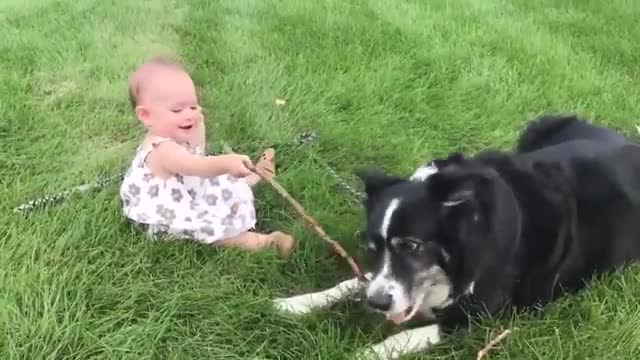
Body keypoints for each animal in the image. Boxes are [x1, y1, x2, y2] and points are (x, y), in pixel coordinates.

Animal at [270, 115, 640, 360]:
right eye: (372, 246)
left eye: (412, 246)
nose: (376, 305)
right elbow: (354, 281)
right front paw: (296, 303)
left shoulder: (481, 314)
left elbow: (407, 336)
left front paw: (364, 353)